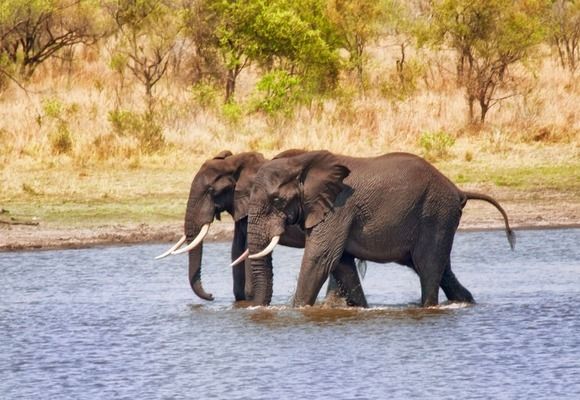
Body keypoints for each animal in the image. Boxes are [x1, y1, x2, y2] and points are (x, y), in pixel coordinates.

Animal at [154, 150, 368, 306]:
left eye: (211, 190)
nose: (211, 296)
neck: (237, 162)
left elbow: (246, 252)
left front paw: (248, 300)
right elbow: (237, 250)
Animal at [241, 150, 516, 306]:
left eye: (277, 200)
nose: (257, 308)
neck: (301, 163)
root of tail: (458, 190)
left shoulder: (339, 207)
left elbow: (321, 257)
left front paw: (297, 310)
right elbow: (342, 264)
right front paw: (363, 309)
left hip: (436, 214)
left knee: (428, 269)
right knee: (441, 269)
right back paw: (466, 302)